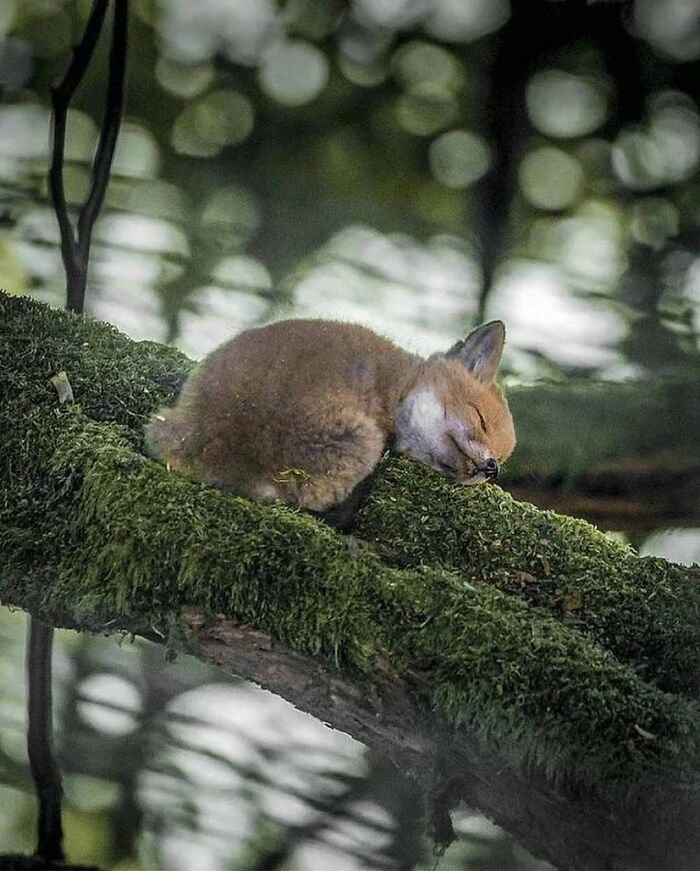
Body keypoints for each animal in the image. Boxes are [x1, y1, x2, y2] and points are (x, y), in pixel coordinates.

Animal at [145, 319, 516, 524]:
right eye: (480, 418)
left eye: (503, 455)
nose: (491, 468)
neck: (396, 386)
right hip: (361, 443)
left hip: (164, 422)